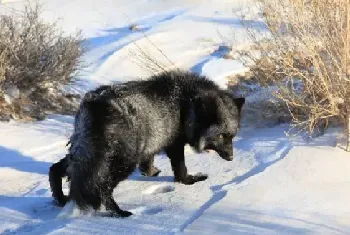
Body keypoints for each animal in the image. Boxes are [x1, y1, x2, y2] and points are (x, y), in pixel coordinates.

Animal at [49, 70, 245, 218]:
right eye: (220, 136)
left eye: (232, 136)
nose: (231, 157)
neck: (186, 106)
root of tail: (95, 104)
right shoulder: (174, 145)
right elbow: (180, 169)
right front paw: (189, 181)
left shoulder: (151, 144)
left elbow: (148, 163)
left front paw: (150, 173)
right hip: (122, 162)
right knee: (102, 188)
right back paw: (118, 213)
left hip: (86, 153)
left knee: (56, 168)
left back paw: (60, 199)